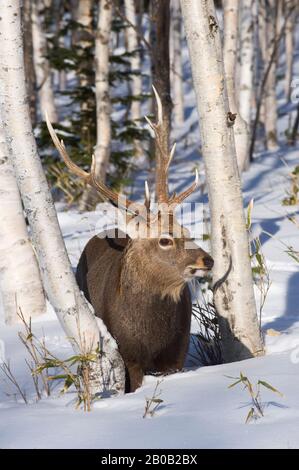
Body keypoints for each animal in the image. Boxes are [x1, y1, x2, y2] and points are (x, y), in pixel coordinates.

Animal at [46, 89, 213, 392]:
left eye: (187, 231)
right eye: (165, 240)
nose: (207, 260)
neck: (153, 334)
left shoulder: (177, 353)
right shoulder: (129, 355)